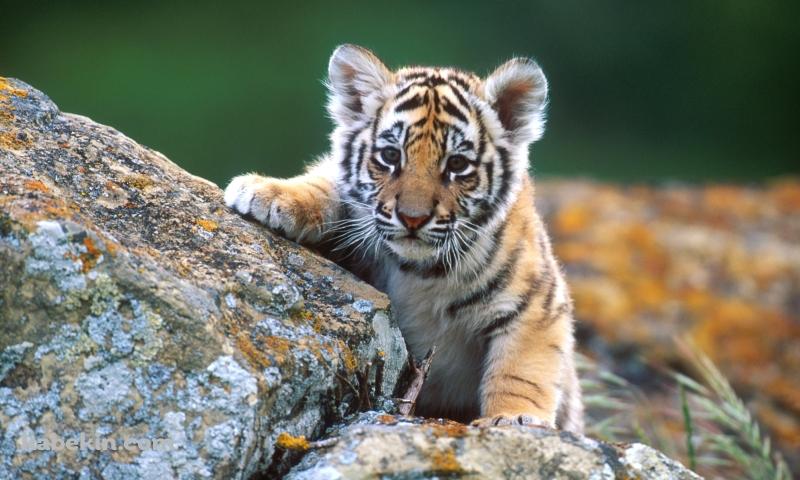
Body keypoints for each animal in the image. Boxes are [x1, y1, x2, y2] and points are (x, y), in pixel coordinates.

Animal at [224, 44, 583, 432]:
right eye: (390, 155)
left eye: (457, 165)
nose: (413, 218)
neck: (420, 272)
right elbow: (326, 182)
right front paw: (267, 192)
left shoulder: (537, 304)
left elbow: (521, 370)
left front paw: (514, 418)